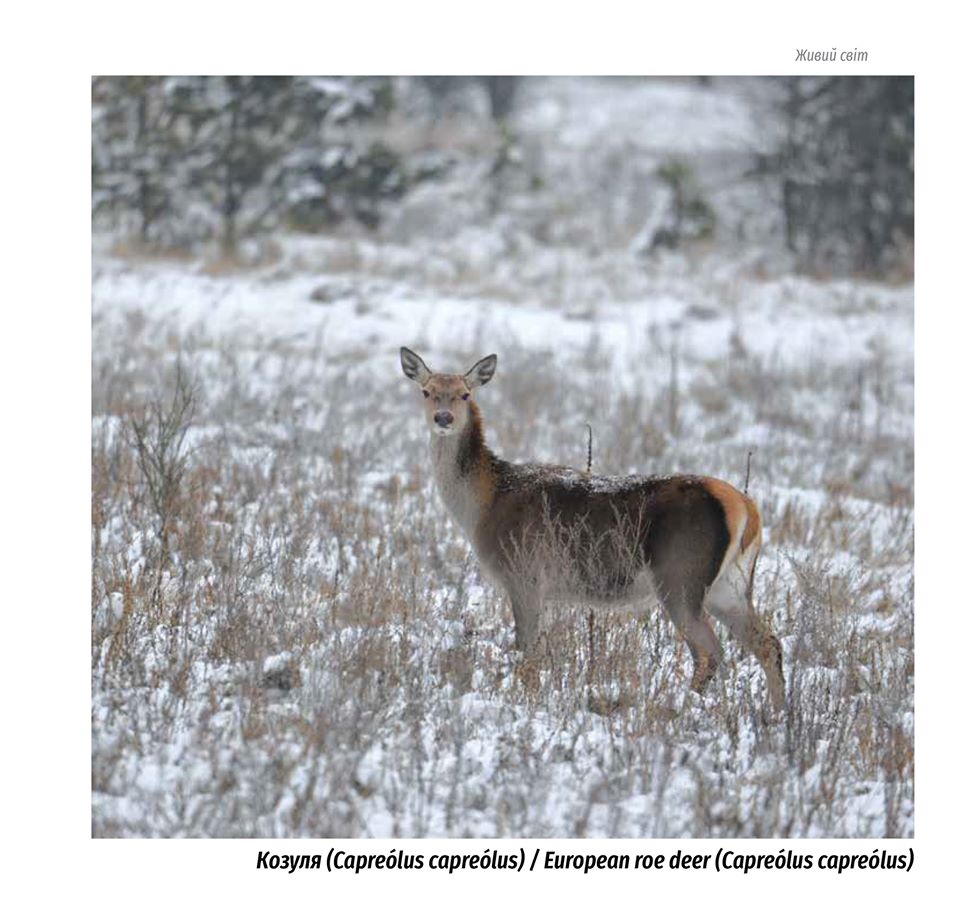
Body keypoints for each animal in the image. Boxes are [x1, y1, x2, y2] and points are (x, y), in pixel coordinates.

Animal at [402, 346, 784, 708]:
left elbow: (528, 654)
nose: (443, 417)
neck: (485, 504)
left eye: (465, 394)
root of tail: (746, 509)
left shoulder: (523, 574)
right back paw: (777, 713)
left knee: (709, 651)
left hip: (681, 573)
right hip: (729, 584)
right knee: (768, 642)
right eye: (426, 391)